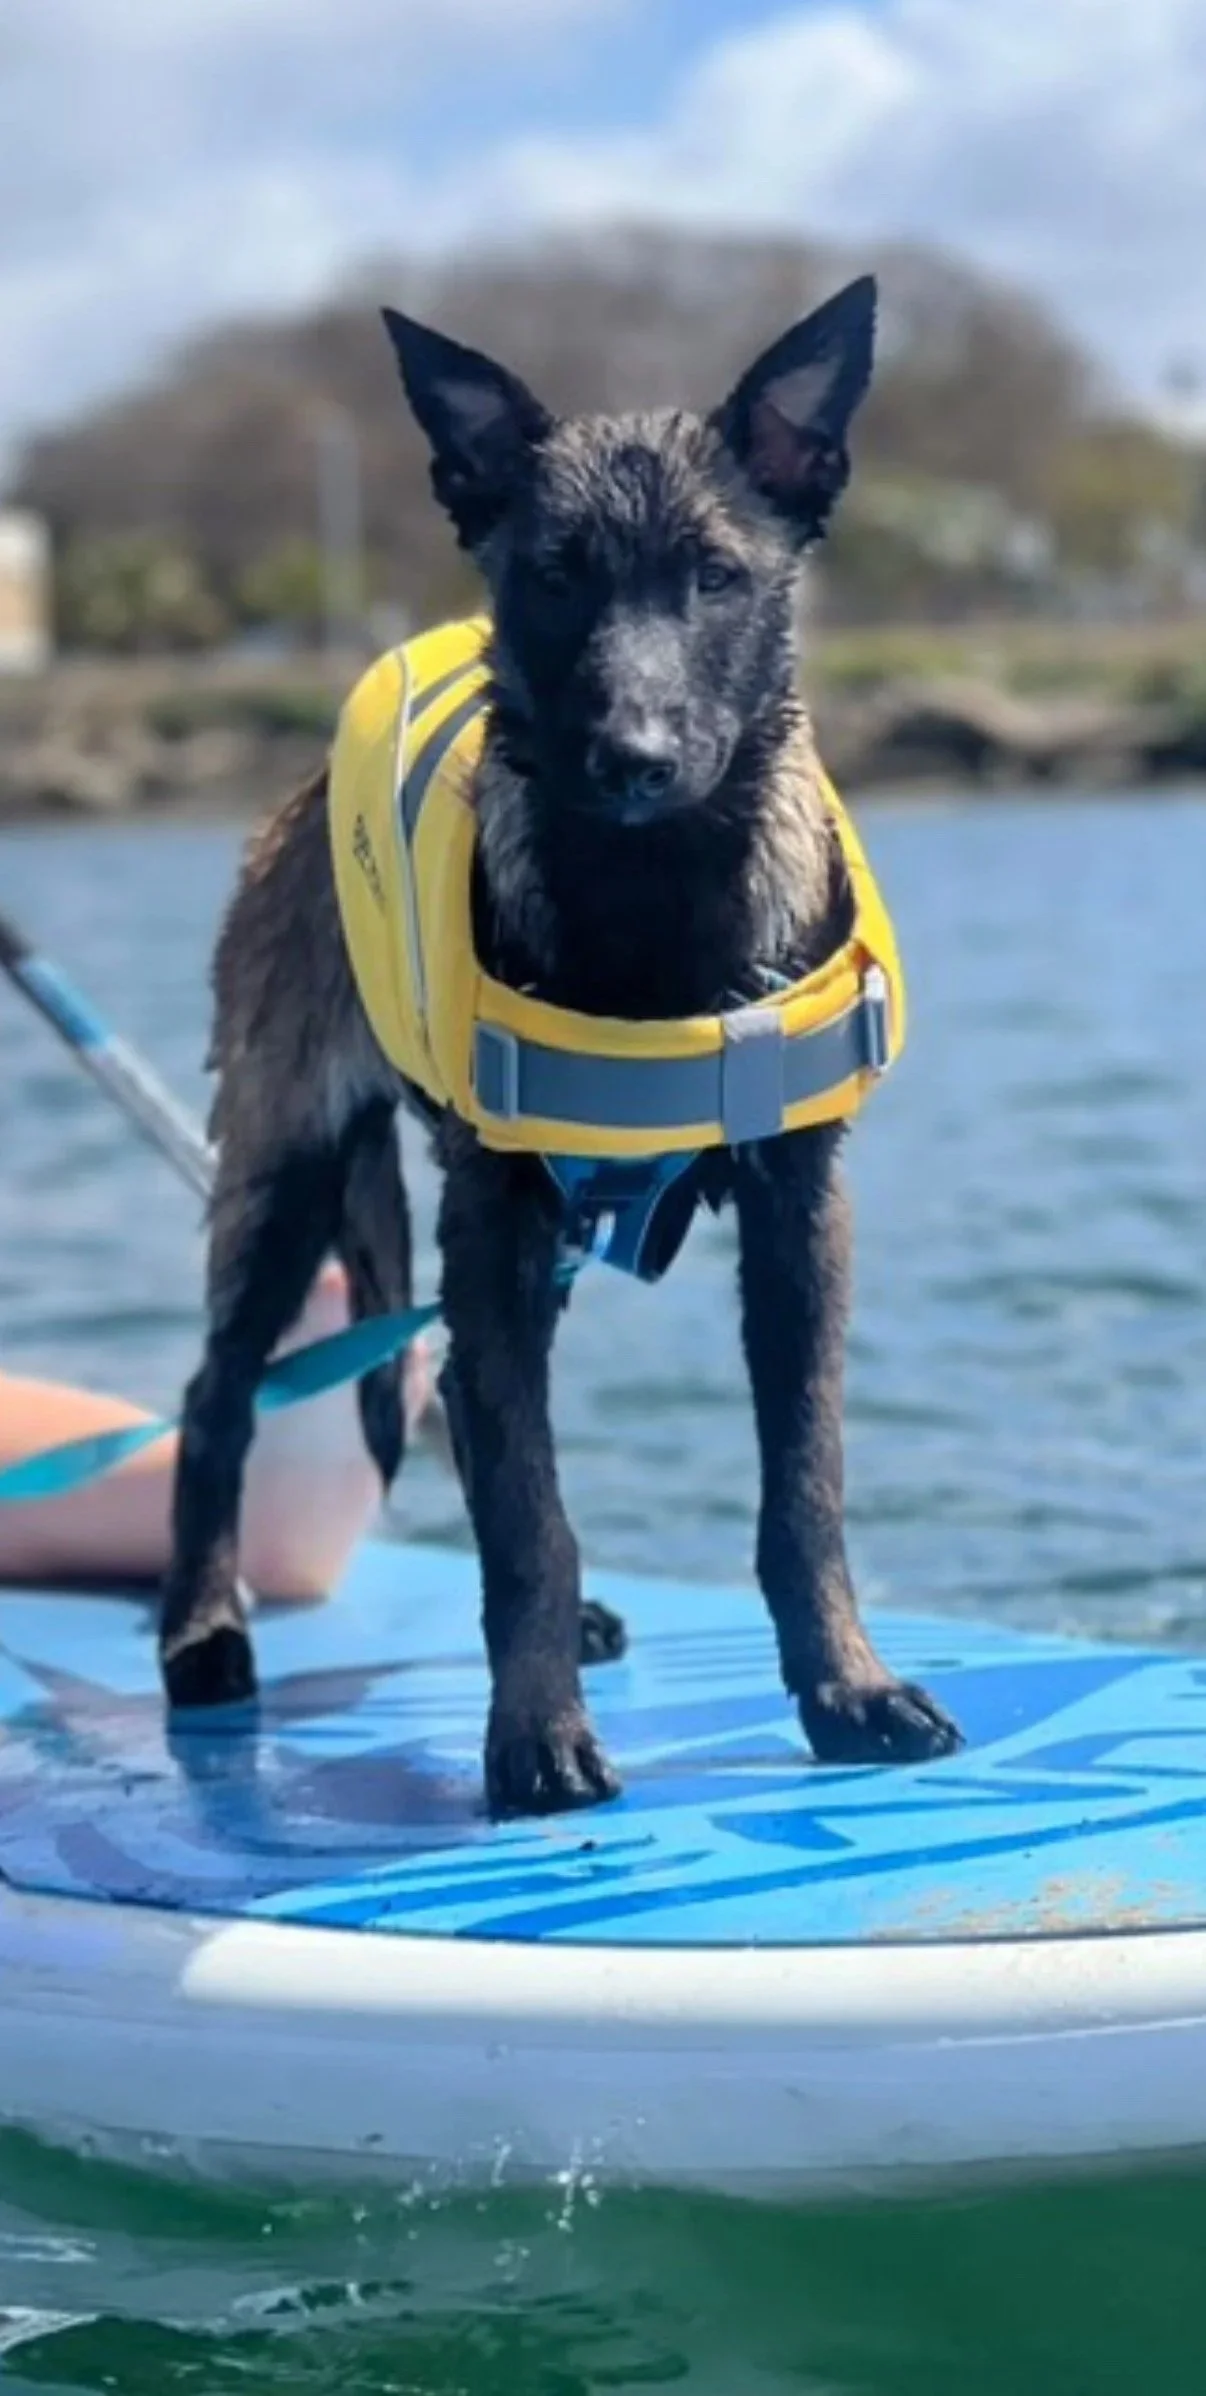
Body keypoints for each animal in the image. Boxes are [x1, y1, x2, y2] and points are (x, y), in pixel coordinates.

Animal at [160, 273, 963, 1817]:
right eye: (554, 577)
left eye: (714, 577)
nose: (634, 758)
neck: (657, 909)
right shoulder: (498, 1215)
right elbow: (531, 1507)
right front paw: (532, 1734)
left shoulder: (796, 1214)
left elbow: (804, 1483)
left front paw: (845, 1687)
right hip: (285, 1178)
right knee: (219, 1399)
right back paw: (204, 1631)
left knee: (463, 1413)